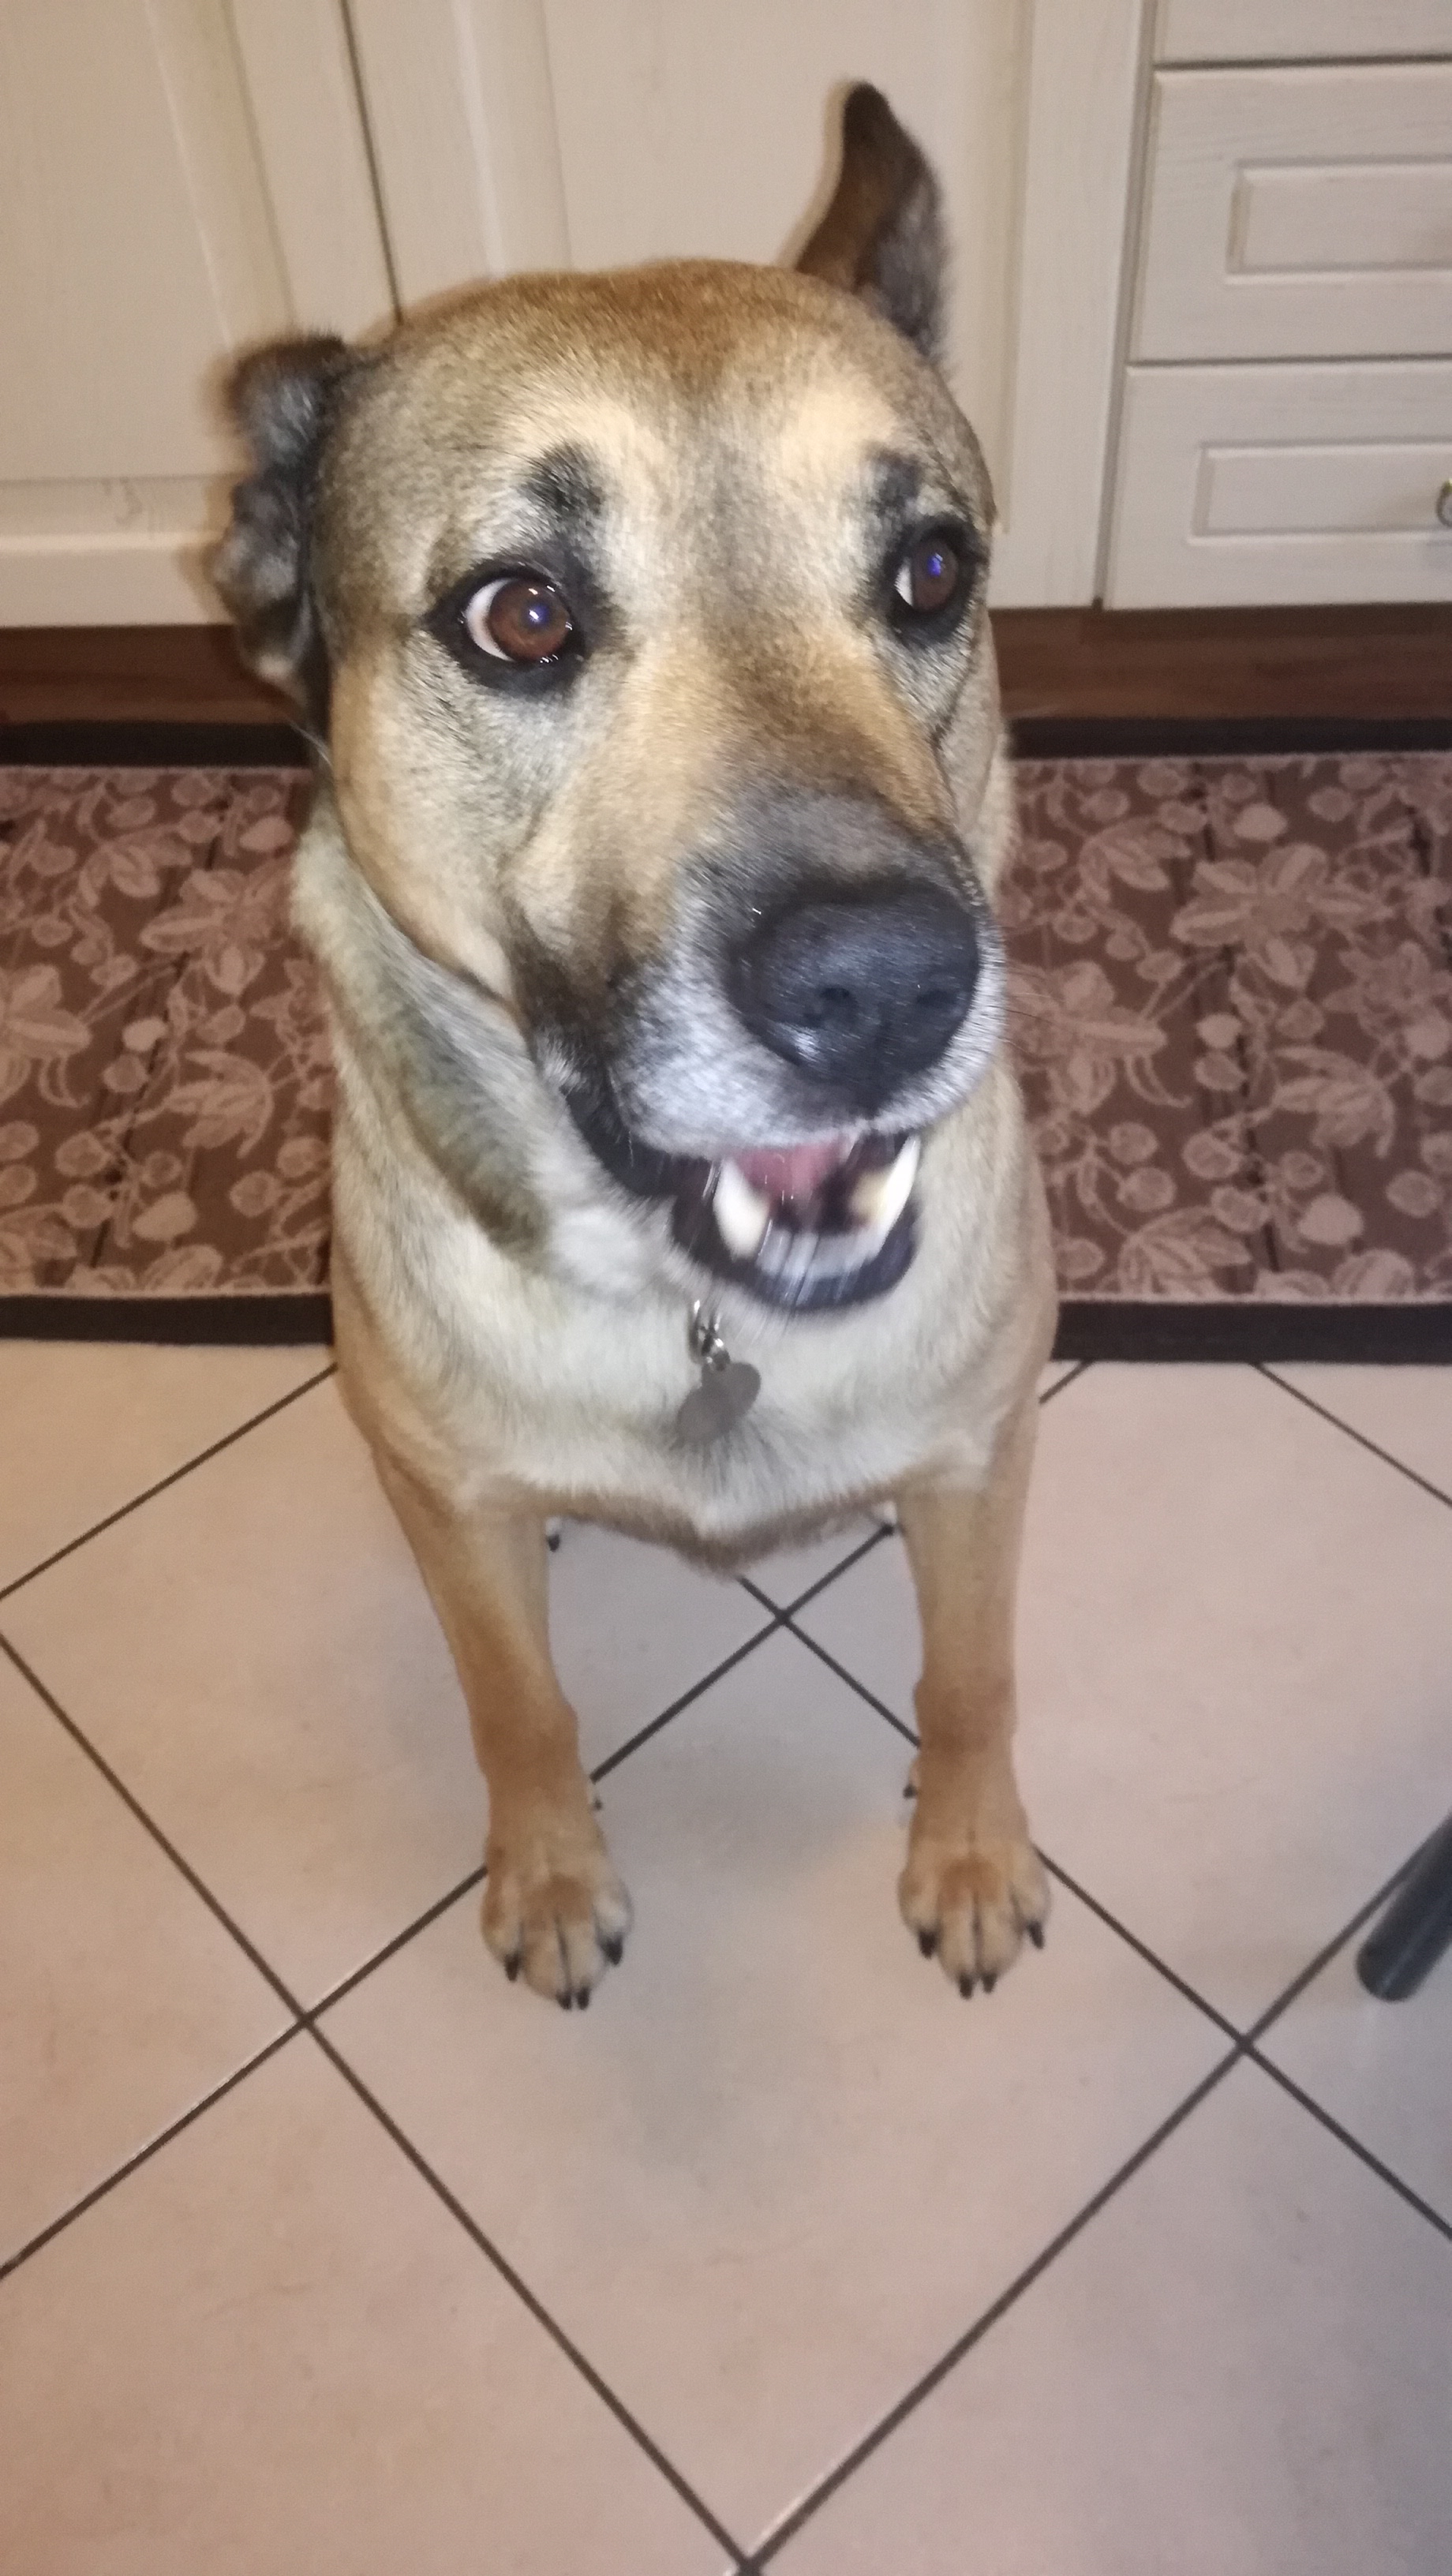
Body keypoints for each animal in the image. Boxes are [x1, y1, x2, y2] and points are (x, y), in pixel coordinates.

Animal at [215, 84, 1057, 2010]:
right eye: (518, 614)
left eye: (931, 571)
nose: (888, 987)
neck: (700, 1316)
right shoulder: (448, 1504)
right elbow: (514, 1704)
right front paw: (548, 1873)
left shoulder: (980, 1460)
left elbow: (971, 1672)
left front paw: (970, 1850)